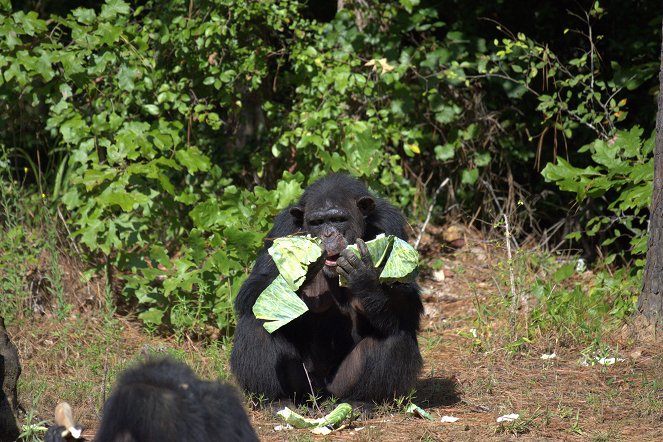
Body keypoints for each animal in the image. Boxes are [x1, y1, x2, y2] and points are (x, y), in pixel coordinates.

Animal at [231, 174, 422, 402]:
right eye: (317, 222)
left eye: (338, 219)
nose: (328, 234)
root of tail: (323, 395)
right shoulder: (282, 228)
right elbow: (254, 284)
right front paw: (301, 268)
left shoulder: (390, 223)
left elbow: (409, 301)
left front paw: (365, 278)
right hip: (304, 387)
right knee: (256, 322)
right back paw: (275, 400)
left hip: (340, 385)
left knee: (396, 334)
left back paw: (364, 402)